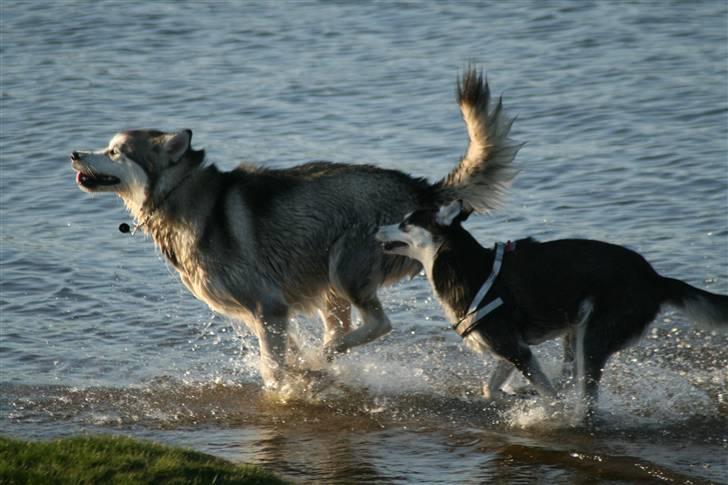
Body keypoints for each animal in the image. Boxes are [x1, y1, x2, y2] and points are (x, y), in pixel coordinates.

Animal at [71, 68, 520, 388]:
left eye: (115, 151)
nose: (74, 153)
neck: (179, 194)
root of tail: (420, 189)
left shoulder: (266, 305)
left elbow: (273, 368)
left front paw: (292, 387)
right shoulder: (268, 312)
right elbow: (286, 352)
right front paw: (303, 373)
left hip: (345, 265)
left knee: (378, 325)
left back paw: (329, 354)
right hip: (329, 288)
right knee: (347, 328)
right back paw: (329, 358)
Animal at [378, 199, 724, 418]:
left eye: (405, 224)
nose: (375, 230)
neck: (465, 266)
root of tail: (655, 278)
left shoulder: (514, 348)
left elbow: (547, 395)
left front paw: (547, 410)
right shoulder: (512, 348)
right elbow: (491, 388)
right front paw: (516, 396)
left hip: (592, 336)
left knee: (586, 398)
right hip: (576, 332)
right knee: (572, 381)